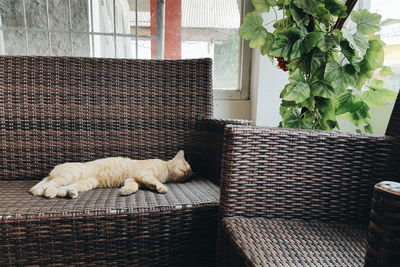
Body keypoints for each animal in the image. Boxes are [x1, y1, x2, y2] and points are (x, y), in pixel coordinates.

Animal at [29, 151, 192, 199]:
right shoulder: (144, 173)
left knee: (62, 188)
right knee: (49, 185)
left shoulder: (132, 179)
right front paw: (160, 187)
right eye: (186, 169)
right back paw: (49, 192)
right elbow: (154, 181)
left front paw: (125, 191)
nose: (190, 175)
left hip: (85, 183)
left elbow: (133, 187)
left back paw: (70, 193)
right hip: (71, 175)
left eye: (189, 172)